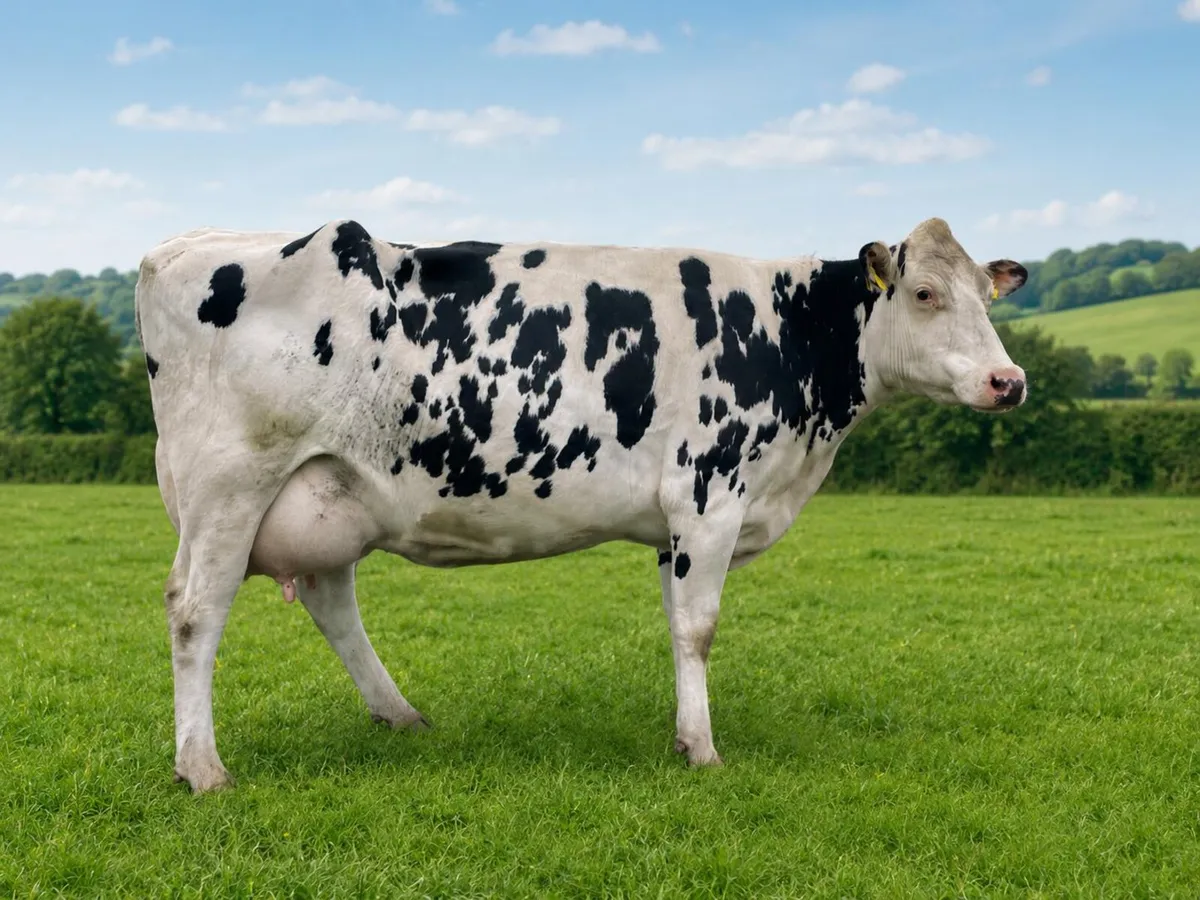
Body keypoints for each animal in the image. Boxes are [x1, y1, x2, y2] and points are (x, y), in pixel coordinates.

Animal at [134, 215, 1027, 792]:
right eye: (923, 293)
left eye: (987, 299)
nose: (1008, 380)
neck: (788, 339)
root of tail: (181, 245)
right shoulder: (709, 493)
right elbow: (699, 629)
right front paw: (703, 749)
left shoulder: (679, 523)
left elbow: (675, 624)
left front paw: (683, 731)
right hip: (232, 483)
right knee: (195, 610)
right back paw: (202, 768)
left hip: (329, 489)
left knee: (330, 601)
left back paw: (400, 716)